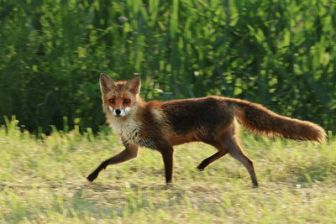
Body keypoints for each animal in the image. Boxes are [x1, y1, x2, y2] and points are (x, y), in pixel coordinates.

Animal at [86, 74, 326, 186]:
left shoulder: (166, 147)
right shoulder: (132, 150)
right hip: (221, 139)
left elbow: (168, 174)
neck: (131, 122)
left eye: (126, 101)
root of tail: (224, 99)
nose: (118, 111)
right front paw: (92, 176)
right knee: (246, 160)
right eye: (112, 100)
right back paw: (253, 184)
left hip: (210, 136)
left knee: (233, 154)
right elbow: (105, 161)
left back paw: (207, 166)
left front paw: (168, 188)